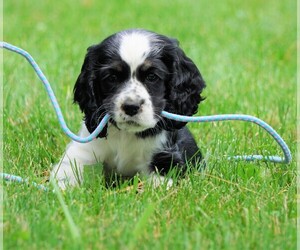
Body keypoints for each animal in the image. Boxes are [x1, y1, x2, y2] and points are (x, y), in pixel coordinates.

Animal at [51, 28, 206, 189]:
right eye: (112, 78)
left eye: (152, 77)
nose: (131, 107)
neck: (126, 135)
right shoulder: (85, 149)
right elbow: (68, 170)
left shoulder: (165, 158)